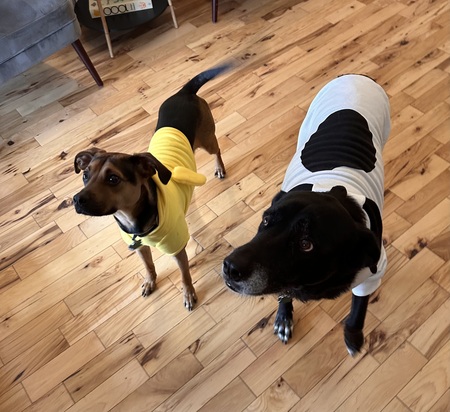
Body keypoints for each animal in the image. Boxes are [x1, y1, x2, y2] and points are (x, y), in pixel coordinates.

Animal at [73, 63, 232, 308]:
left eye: (113, 179)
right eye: (85, 175)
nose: (76, 200)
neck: (135, 220)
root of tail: (184, 93)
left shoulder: (177, 249)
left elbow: (185, 275)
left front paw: (188, 294)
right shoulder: (139, 247)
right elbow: (148, 266)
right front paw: (150, 282)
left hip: (207, 139)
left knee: (217, 150)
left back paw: (220, 168)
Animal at [222, 75, 390, 356]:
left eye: (306, 244)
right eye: (266, 220)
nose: (230, 267)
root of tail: (355, 76)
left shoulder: (373, 273)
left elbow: (359, 307)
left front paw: (353, 335)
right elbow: (284, 294)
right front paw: (283, 316)